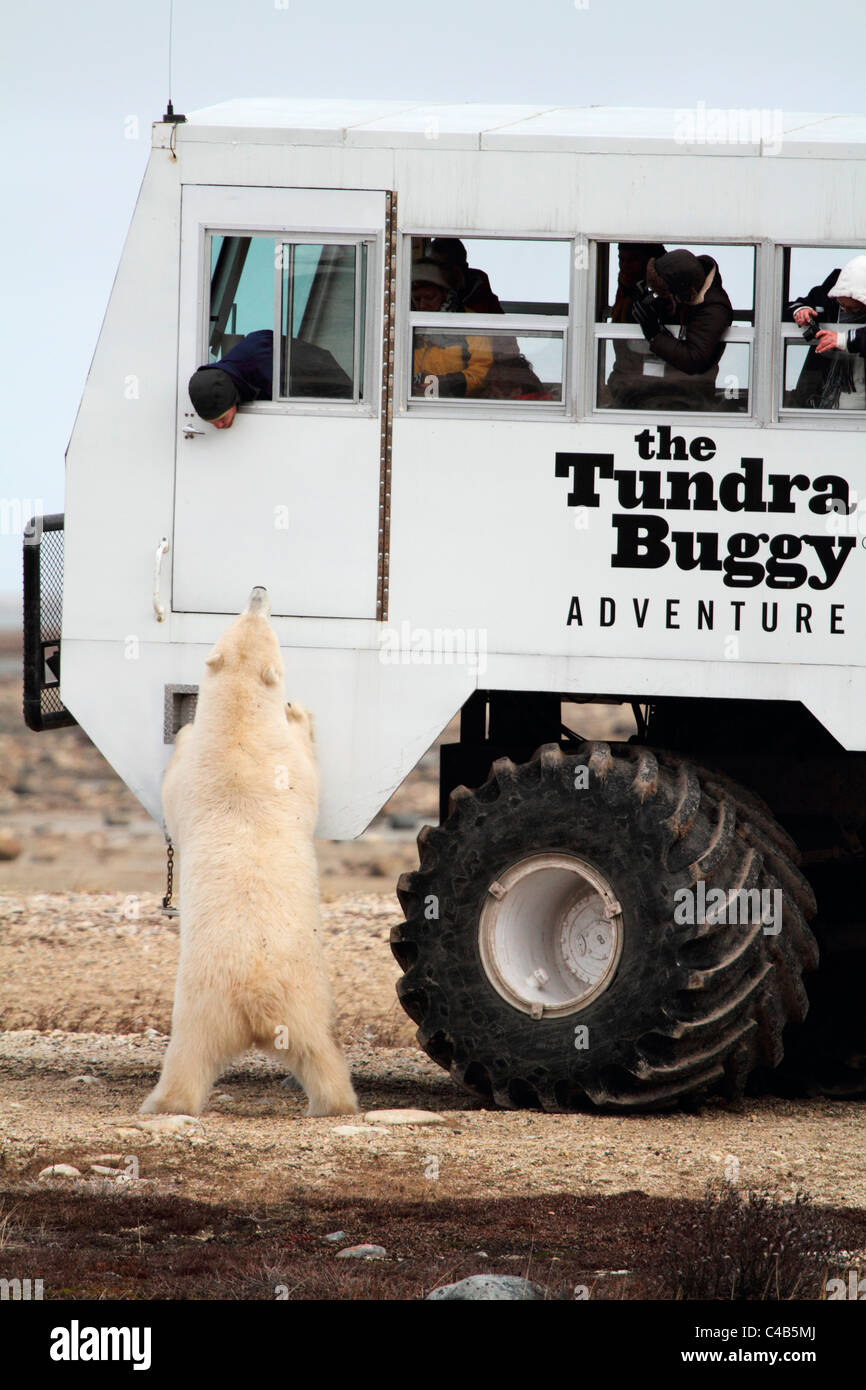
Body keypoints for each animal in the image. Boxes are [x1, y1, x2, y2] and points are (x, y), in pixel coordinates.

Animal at [140, 586, 358, 1117]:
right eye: (255, 618)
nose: (259, 590)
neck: (237, 727)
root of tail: (255, 1001)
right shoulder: (279, 762)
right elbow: (306, 761)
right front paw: (299, 713)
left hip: (237, 1006)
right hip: (277, 1000)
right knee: (313, 1051)